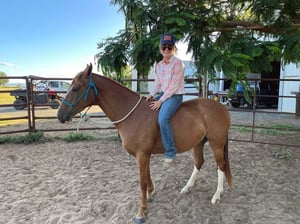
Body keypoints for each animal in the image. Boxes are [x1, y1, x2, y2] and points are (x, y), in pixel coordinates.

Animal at [56, 64, 232, 223]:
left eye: (76, 88)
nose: (60, 115)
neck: (133, 115)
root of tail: (221, 107)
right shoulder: (144, 155)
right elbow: (147, 176)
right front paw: (150, 194)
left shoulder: (141, 154)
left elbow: (142, 182)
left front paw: (141, 212)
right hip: (199, 143)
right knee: (199, 163)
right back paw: (187, 188)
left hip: (216, 143)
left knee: (221, 166)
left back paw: (217, 195)